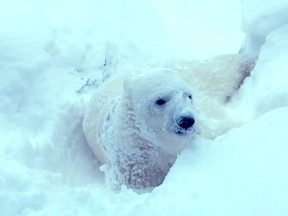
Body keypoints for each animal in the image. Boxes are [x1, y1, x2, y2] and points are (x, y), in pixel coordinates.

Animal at [82, 54, 255, 191]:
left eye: (188, 96)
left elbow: (222, 126)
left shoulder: (200, 127)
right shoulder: (133, 166)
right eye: (160, 100)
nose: (186, 121)